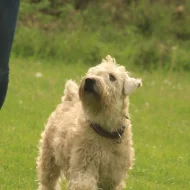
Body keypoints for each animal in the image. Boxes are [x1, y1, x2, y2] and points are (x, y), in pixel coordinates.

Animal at [36, 54, 142, 189]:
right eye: (93, 72)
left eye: (112, 77)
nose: (90, 80)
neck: (105, 128)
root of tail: (69, 98)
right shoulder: (85, 164)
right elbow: (84, 183)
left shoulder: (112, 176)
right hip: (49, 158)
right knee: (48, 182)